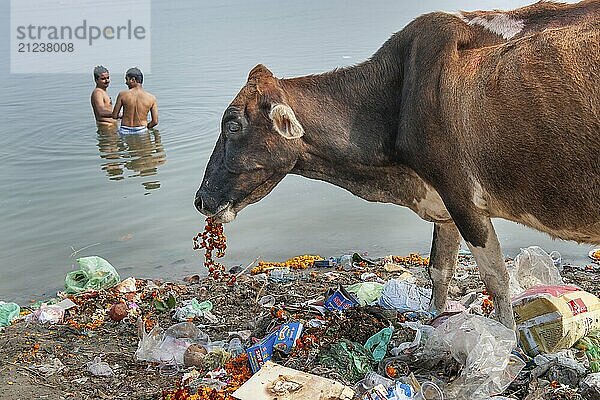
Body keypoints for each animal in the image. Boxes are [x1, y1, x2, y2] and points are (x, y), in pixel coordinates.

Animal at [196, 0, 600, 328]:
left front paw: (507, 342)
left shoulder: (461, 195)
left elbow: (497, 278)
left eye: (232, 123)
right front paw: (435, 322)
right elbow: (439, 269)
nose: (200, 200)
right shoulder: (442, 202)